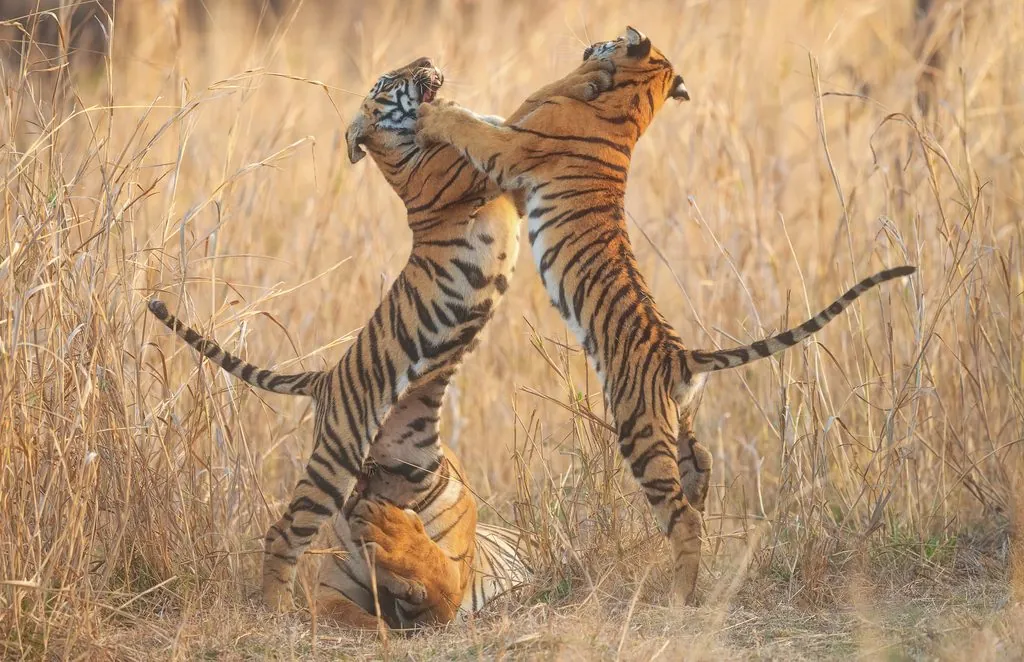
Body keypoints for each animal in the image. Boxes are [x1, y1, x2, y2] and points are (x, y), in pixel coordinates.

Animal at [148, 56, 596, 617]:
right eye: (387, 80)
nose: (426, 60)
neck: (399, 155)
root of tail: (323, 378)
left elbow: (509, 119)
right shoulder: (474, 175)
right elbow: (506, 126)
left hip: (409, 458)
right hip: (337, 451)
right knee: (285, 531)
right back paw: (275, 610)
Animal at [414, 26, 917, 605]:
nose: (592, 42)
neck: (633, 102)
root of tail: (684, 357)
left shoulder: (514, 150)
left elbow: (473, 125)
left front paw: (434, 114)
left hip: (639, 425)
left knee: (681, 516)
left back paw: (680, 597)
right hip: (678, 424)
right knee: (701, 470)